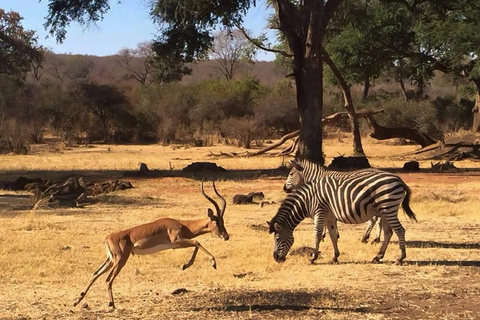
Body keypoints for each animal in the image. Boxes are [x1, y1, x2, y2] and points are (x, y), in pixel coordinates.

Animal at [268, 170, 418, 264]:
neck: (307, 200)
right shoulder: (329, 216)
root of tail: (397, 178)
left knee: (400, 230)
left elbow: (317, 234)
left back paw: (400, 258)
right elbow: (333, 235)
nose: (276, 259)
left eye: (277, 238)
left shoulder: (319, 212)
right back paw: (378, 256)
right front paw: (335, 257)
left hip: (388, 208)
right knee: (388, 232)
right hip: (385, 211)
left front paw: (313, 257)